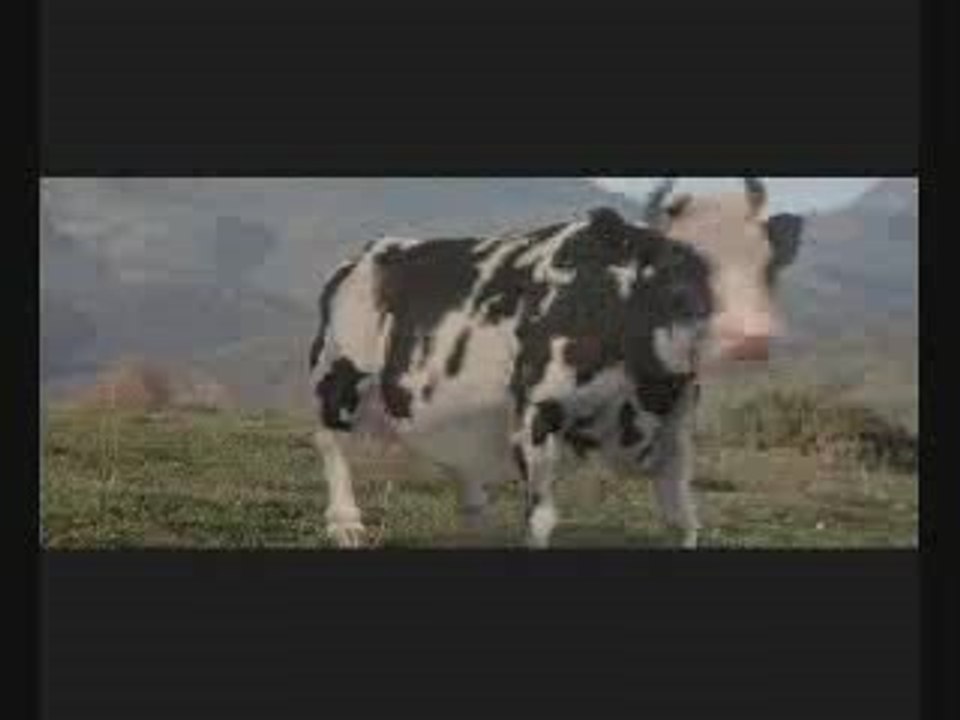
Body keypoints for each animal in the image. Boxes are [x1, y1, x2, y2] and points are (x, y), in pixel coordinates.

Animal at [308, 178, 805, 549]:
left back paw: (476, 517)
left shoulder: (677, 424)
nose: (751, 336)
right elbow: (541, 520)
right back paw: (345, 524)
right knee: (332, 441)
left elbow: (682, 520)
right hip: (339, 371)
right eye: (674, 267)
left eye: (767, 265)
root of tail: (368, 253)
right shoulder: (536, 411)